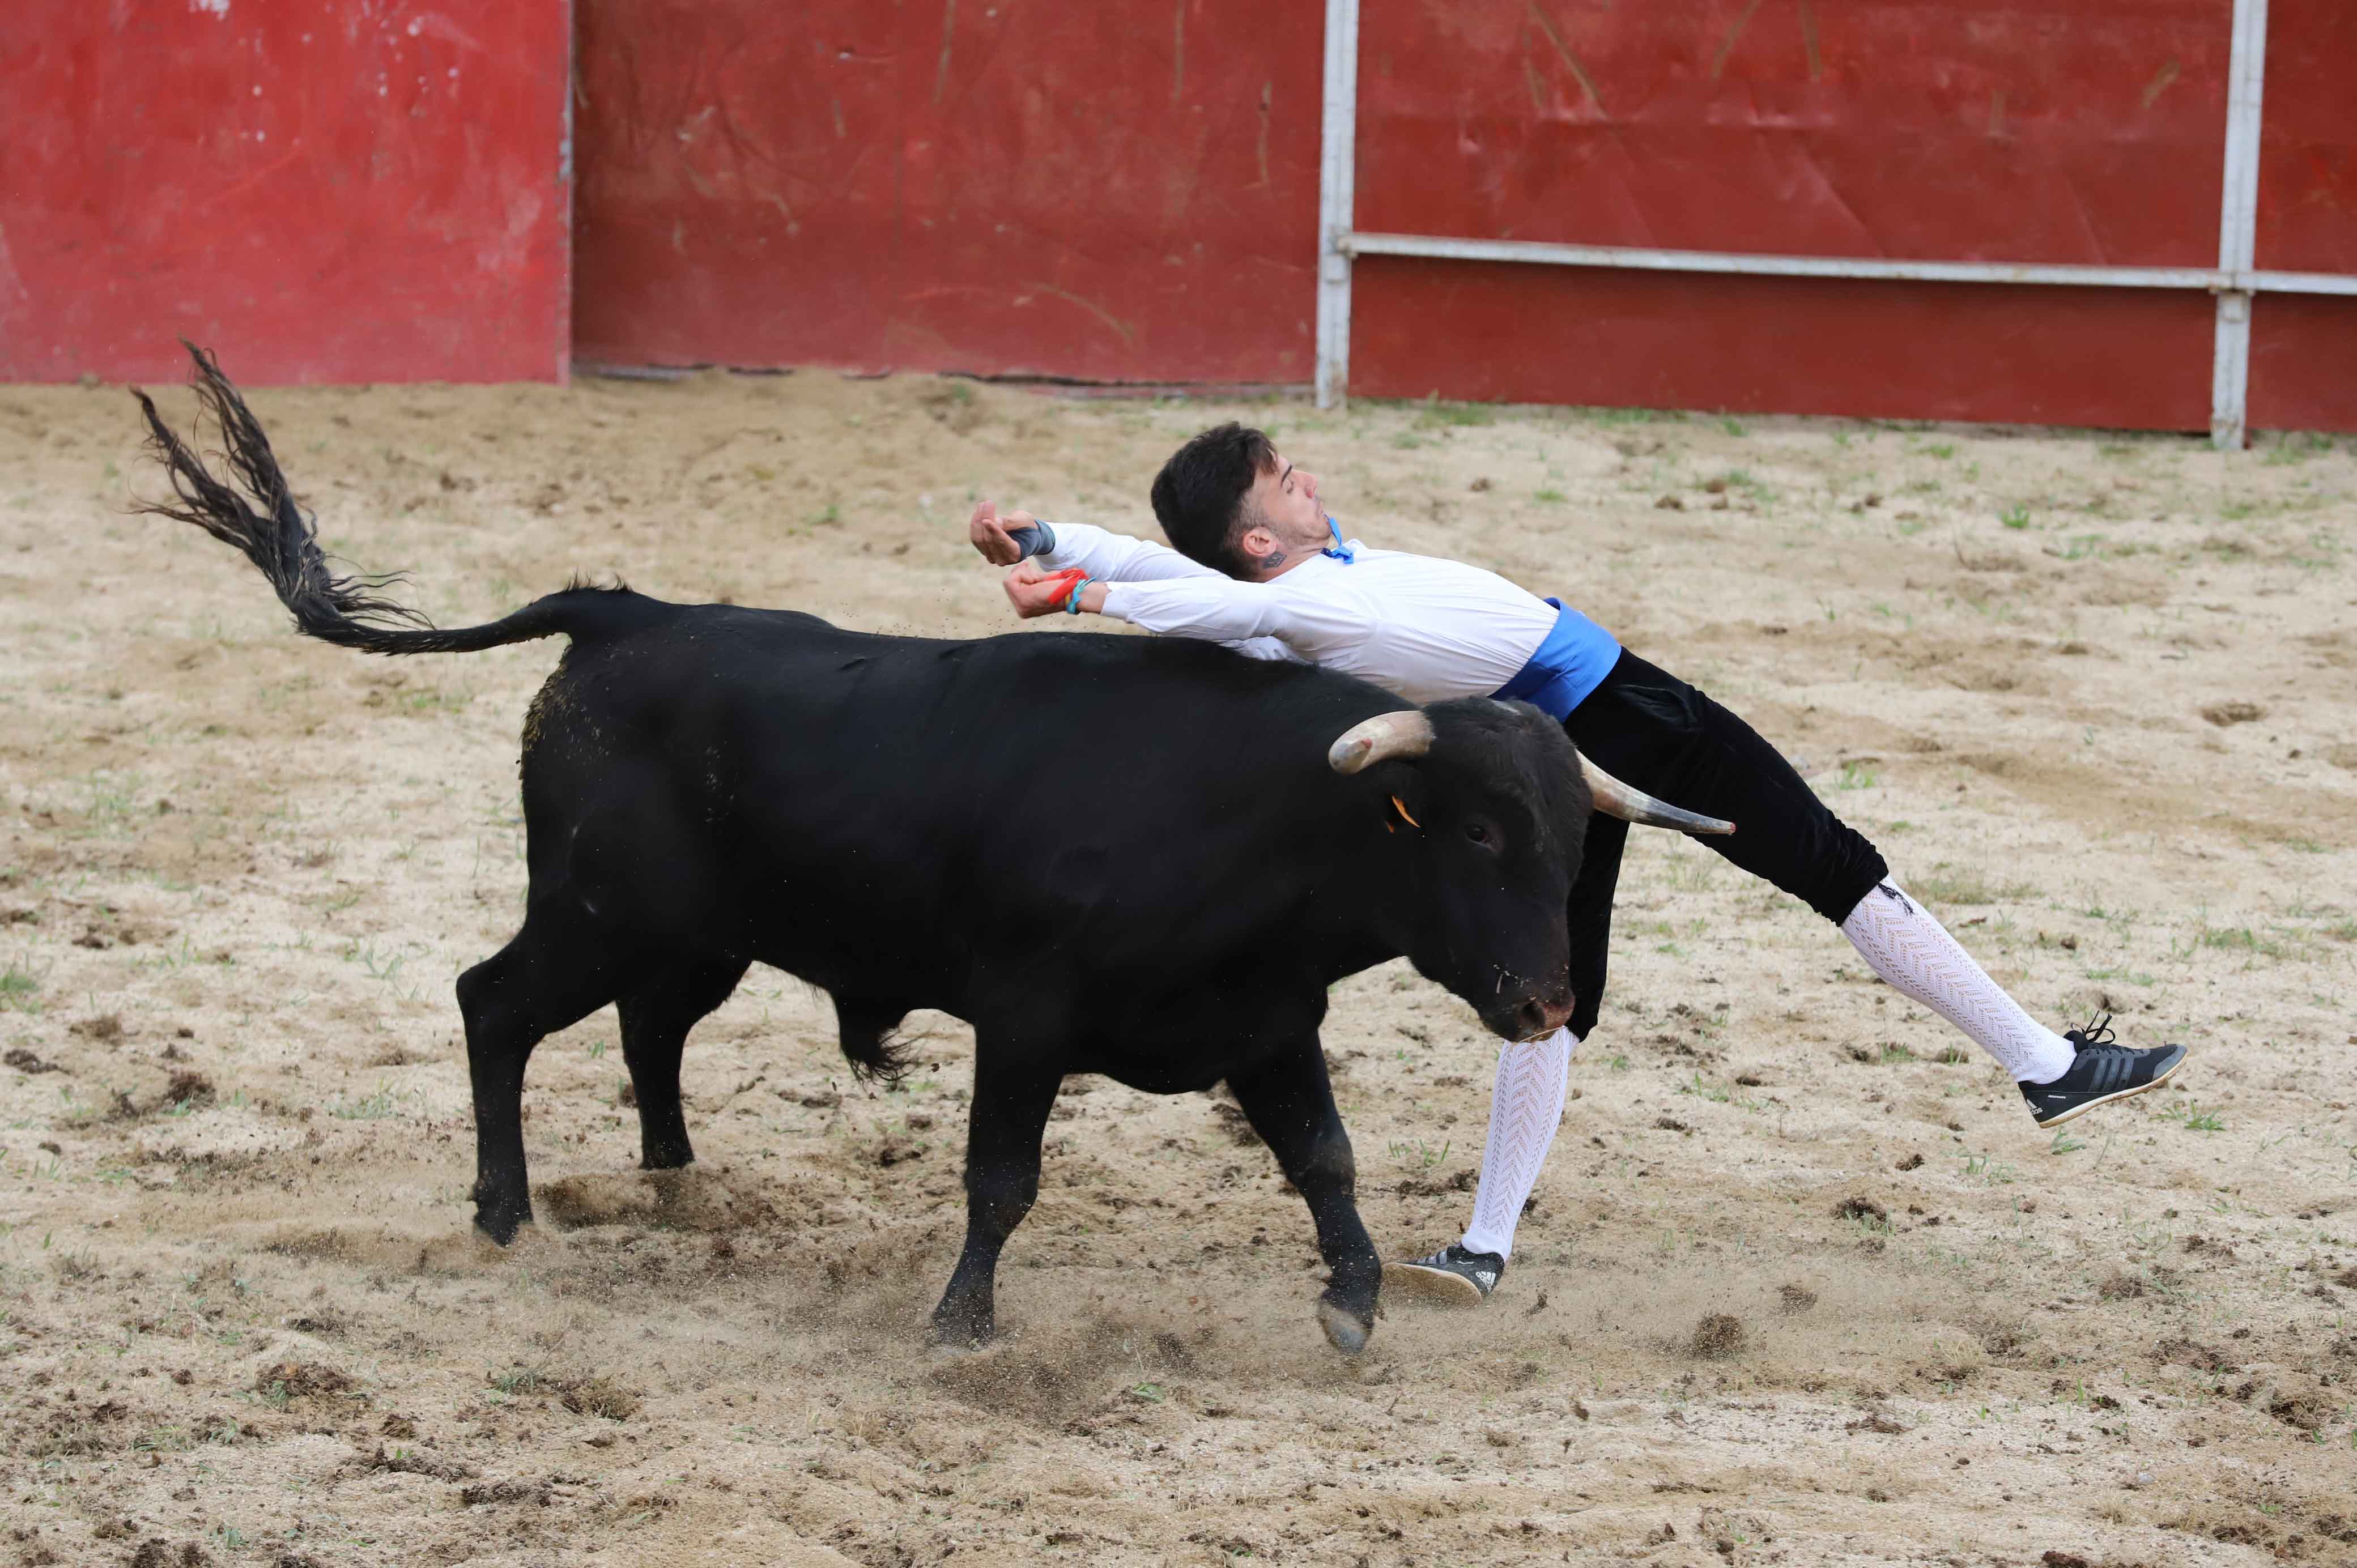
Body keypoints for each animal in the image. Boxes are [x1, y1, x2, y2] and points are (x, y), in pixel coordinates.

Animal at [134, 349, 1716, 1348]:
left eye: (1569, 835)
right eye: (1474, 826)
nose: (1547, 1001)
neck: (1260, 817)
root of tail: (629, 612)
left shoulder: (1268, 1025)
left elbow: (1325, 1159)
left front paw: (1354, 1300)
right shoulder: (1023, 1016)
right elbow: (1002, 1176)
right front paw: (961, 1325)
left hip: (695, 936)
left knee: (648, 1027)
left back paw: (678, 1181)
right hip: (592, 911)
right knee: (494, 1005)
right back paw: (506, 1214)